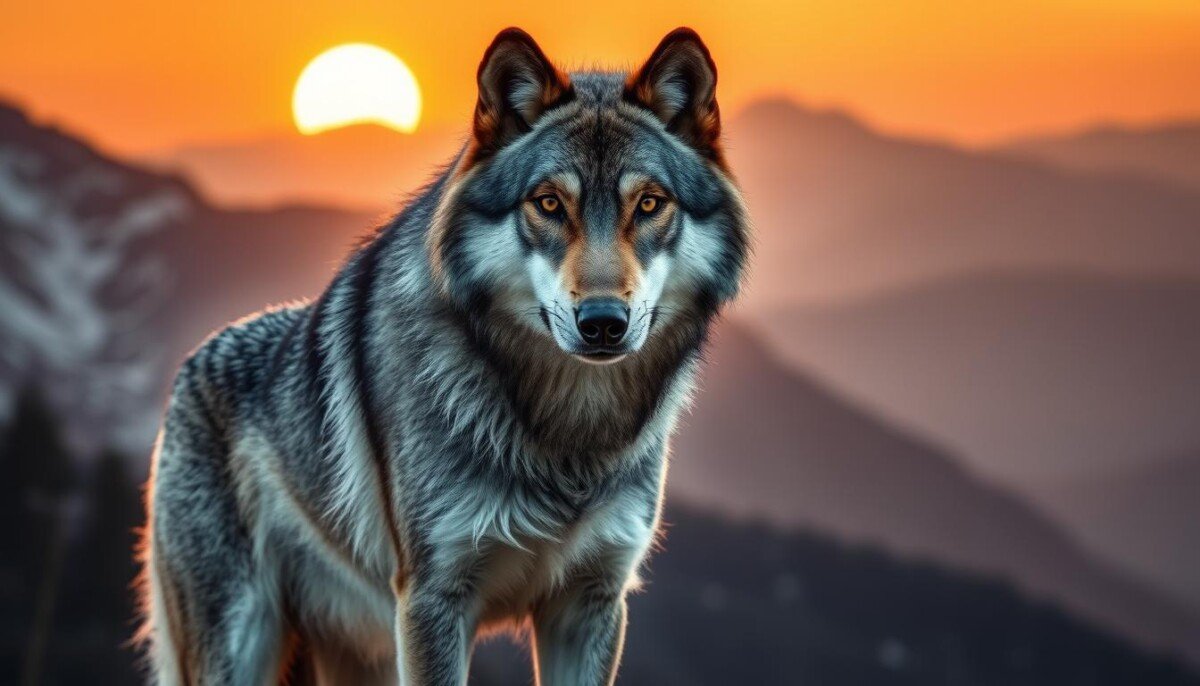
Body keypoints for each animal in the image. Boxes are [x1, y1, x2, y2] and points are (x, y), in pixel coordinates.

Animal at [137, 27, 748, 685]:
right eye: (549, 204)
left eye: (650, 204)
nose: (604, 323)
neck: (564, 437)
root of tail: (190, 365)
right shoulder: (432, 599)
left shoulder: (591, 600)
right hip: (241, 646)